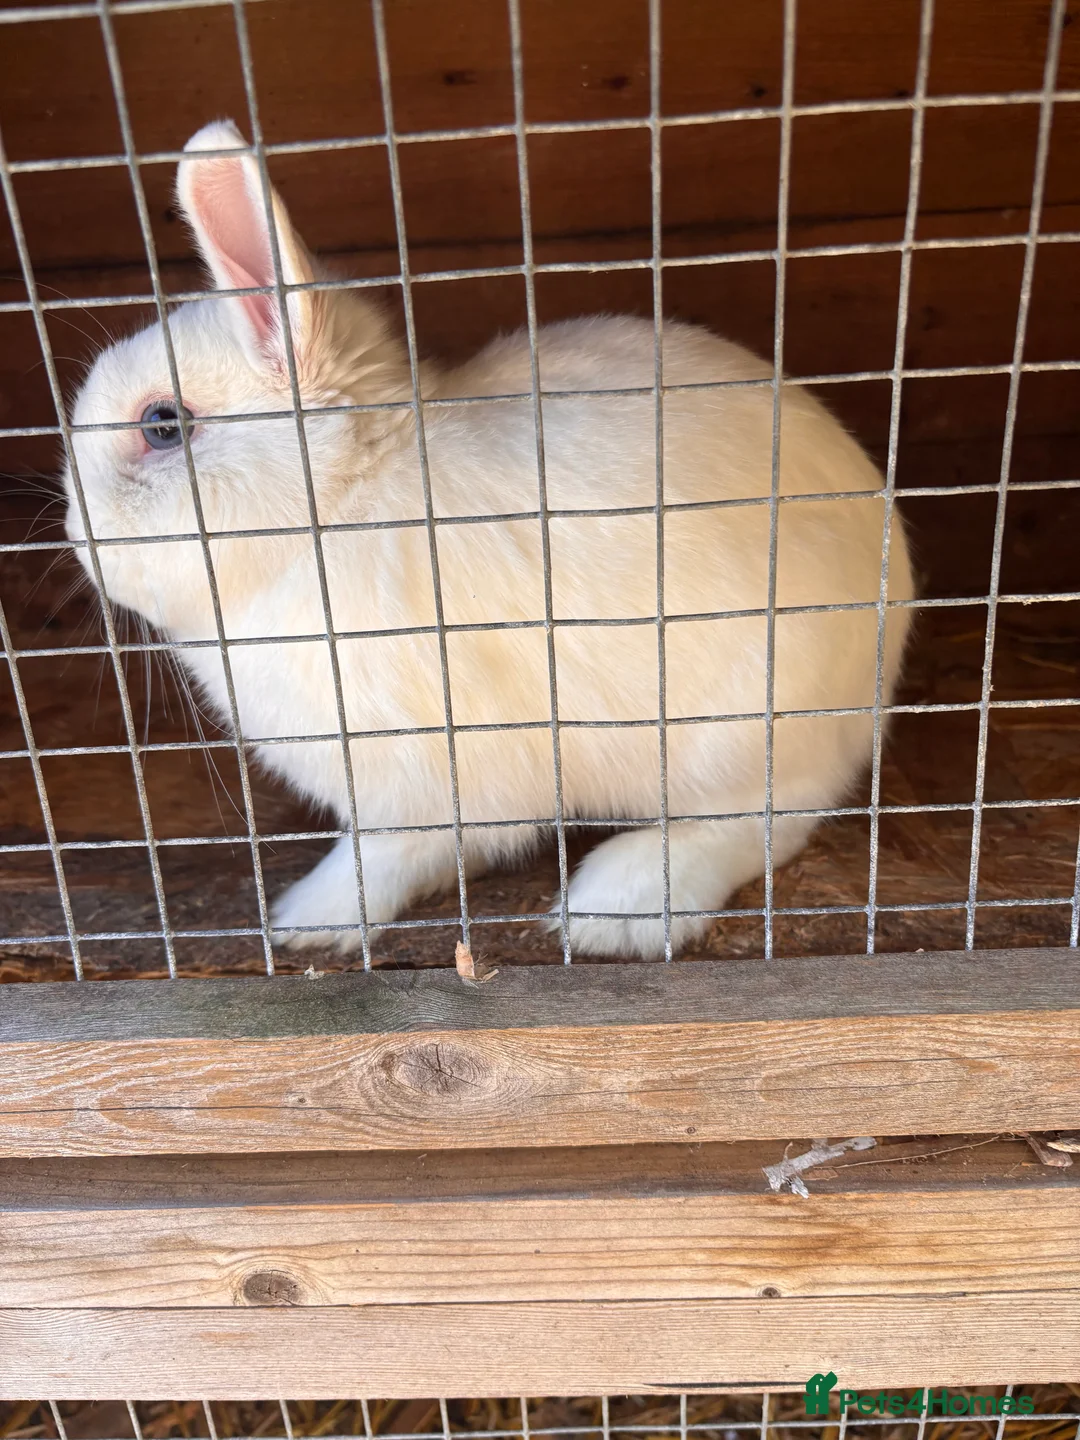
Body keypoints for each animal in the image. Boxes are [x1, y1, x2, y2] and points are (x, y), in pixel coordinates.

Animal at [63, 119, 914, 961]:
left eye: (162, 425)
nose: (77, 538)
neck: (341, 502)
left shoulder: (429, 776)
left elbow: (389, 856)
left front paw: (313, 918)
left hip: (737, 731)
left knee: (767, 821)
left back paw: (618, 909)